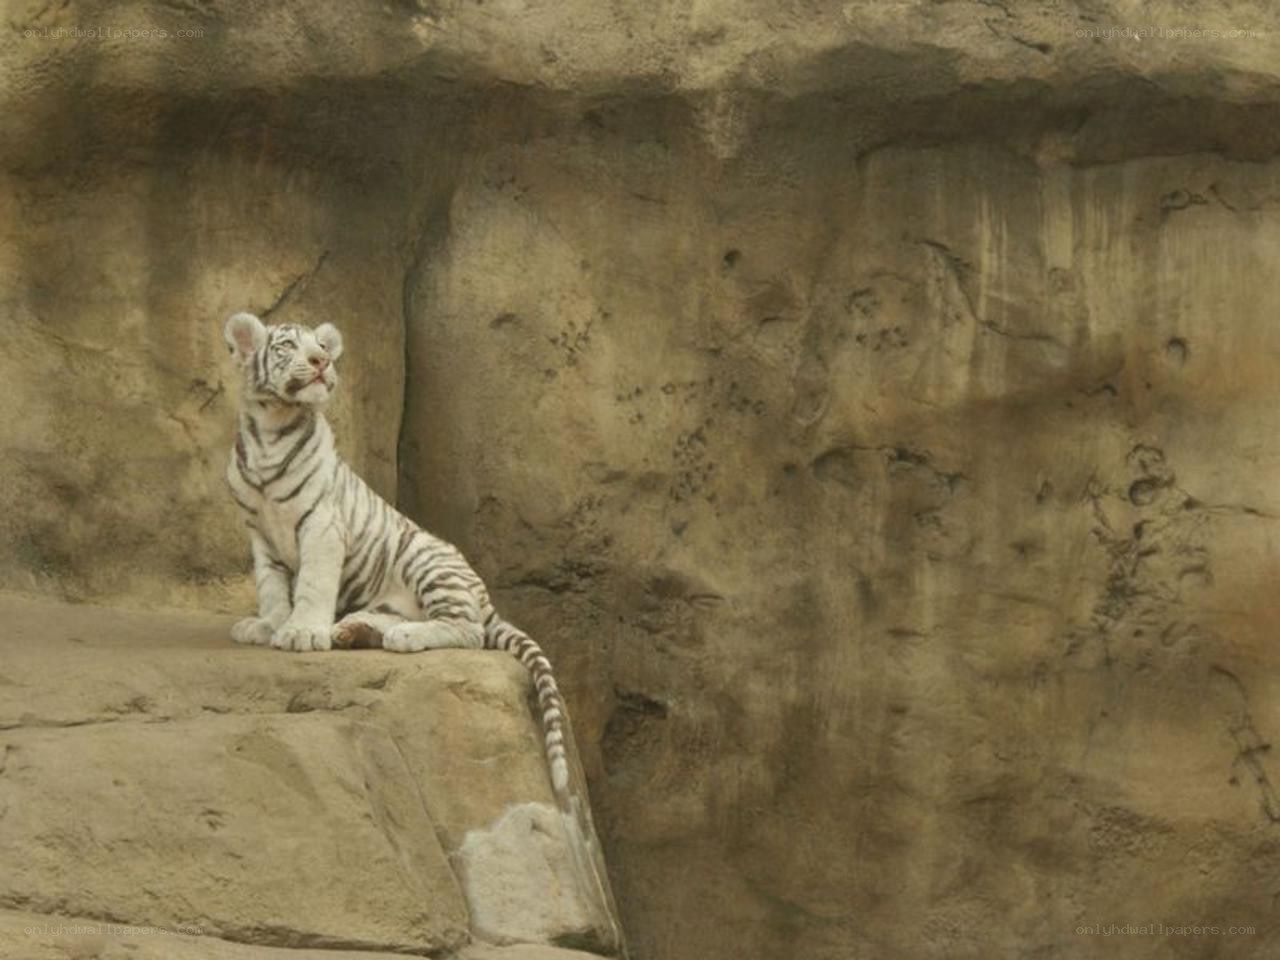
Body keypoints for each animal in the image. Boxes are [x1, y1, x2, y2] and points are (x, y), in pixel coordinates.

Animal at [221, 311, 570, 796]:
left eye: (321, 347)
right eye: (288, 345)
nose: (322, 361)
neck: (271, 429)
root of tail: (485, 598)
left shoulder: (322, 525)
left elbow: (311, 583)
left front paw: (302, 632)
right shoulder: (261, 533)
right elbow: (272, 586)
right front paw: (269, 624)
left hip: (427, 560)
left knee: (468, 630)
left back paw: (400, 637)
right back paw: (353, 630)